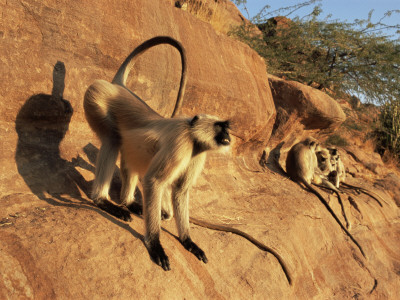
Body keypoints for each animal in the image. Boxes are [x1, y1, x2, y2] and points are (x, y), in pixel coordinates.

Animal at [83, 36, 231, 270]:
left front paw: (188, 241)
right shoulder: (181, 144)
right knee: (112, 139)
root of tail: (119, 87)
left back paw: (129, 202)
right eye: (220, 127)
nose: (228, 136)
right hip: (96, 97)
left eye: (226, 128)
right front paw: (155, 244)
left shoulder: (198, 154)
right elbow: (154, 181)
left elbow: (180, 191)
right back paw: (103, 201)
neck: (192, 135)